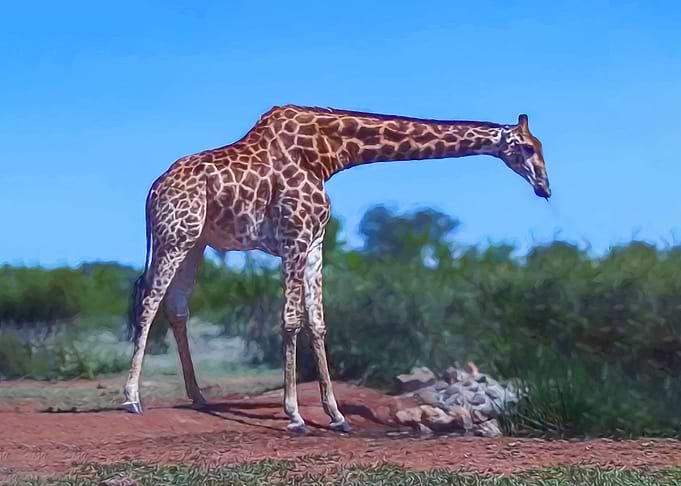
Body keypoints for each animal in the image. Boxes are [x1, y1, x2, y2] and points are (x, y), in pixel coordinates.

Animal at [123, 105, 551, 433]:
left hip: (196, 242)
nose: (545, 188)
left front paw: (337, 416)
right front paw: (295, 416)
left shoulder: (314, 243)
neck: (328, 155)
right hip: (175, 236)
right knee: (148, 300)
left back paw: (198, 397)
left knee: (177, 306)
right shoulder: (294, 238)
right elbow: (291, 320)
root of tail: (153, 189)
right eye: (528, 147)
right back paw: (131, 399)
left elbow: (318, 322)